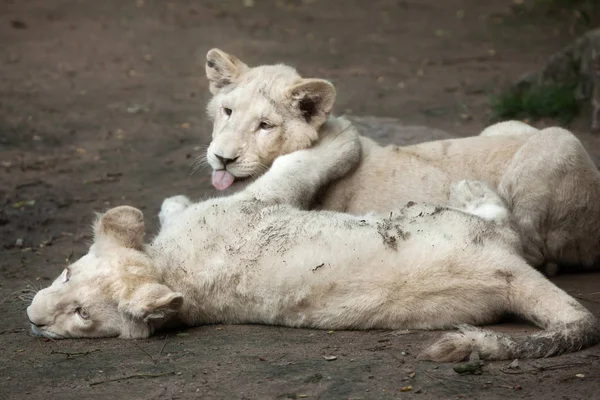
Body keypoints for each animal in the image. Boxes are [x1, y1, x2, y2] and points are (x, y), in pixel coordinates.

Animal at [27, 126, 600, 362]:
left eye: (77, 303)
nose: (32, 319)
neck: (170, 269)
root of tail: (505, 272)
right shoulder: (259, 199)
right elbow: (299, 164)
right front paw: (342, 139)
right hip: (447, 220)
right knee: (506, 224)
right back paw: (472, 191)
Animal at [204, 48, 600, 276]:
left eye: (265, 126)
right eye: (227, 111)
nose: (223, 158)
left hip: (557, 140)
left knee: (536, 252)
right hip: (506, 125)